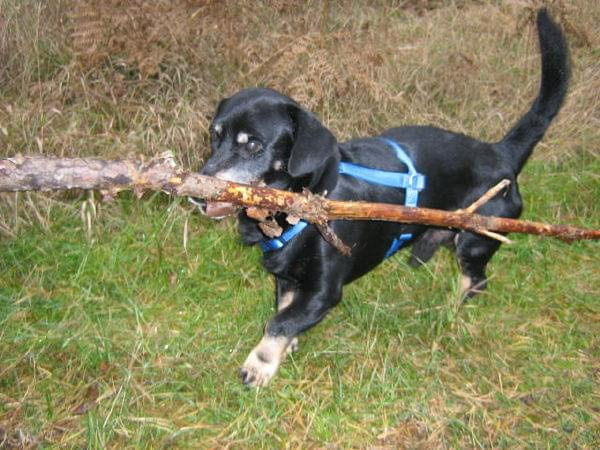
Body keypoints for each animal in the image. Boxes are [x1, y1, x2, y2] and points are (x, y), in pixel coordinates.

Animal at [196, 8, 568, 384]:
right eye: (214, 136)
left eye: (253, 145)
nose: (197, 194)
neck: (301, 205)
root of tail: (501, 152)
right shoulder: (287, 279)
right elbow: (286, 313)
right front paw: (288, 346)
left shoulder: (323, 292)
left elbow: (279, 323)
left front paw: (260, 364)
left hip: (475, 239)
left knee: (476, 281)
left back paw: (447, 309)